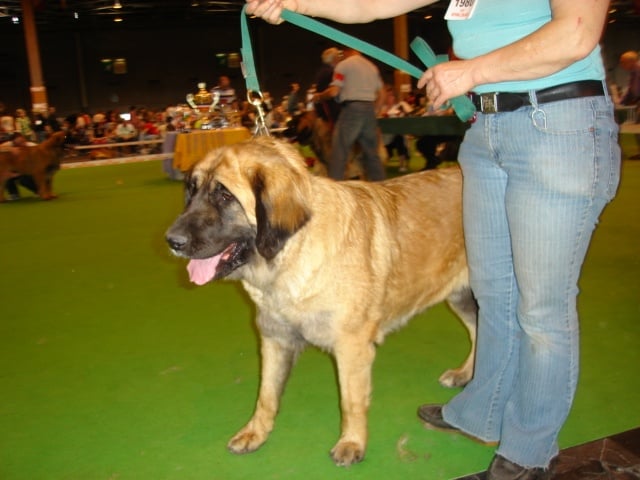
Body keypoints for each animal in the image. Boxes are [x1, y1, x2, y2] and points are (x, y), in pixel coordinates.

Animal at [165, 137, 476, 466]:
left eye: (225, 196)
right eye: (192, 191)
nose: (172, 241)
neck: (292, 252)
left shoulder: (352, 346)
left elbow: (351, 400)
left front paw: (351, 442)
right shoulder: (275, 338)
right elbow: (266, 394)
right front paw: (255, 433)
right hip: (463, 297)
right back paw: (463, 375)